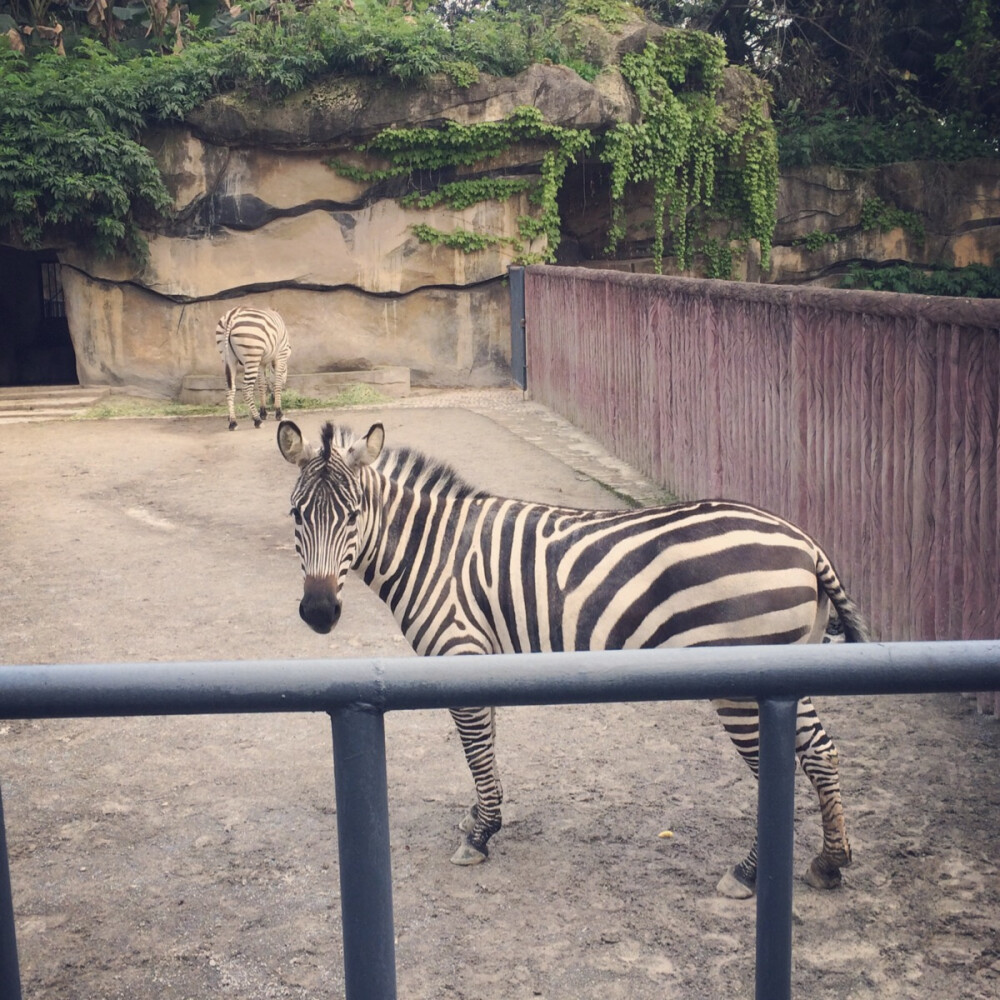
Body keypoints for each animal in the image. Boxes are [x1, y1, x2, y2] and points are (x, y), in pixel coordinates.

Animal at [276, 416, 868, 900]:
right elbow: (486, 748)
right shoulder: (480, 656)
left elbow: (476, 750)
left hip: (744, 687)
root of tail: (805, 542)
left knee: (781, 766)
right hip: (789, 671)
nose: (319, 612)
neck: (431, 553)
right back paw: (829, 861)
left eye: (354, 515)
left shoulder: (459, 649)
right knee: (821, 751)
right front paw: (481, 816)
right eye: (296, 514)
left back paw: (747, 873)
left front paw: (481, 834)